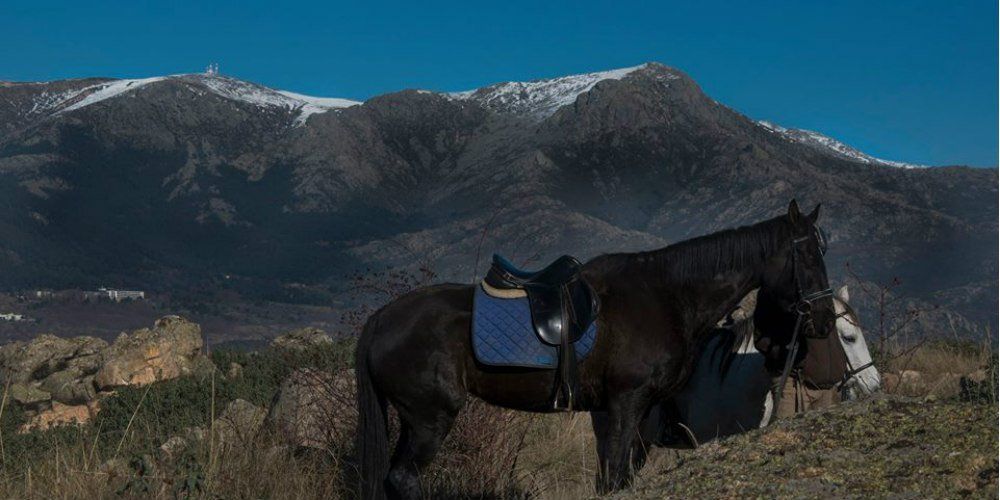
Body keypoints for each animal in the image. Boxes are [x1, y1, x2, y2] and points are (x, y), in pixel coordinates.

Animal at [355, 200, 836, 498]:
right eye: (809, 255)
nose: (825, 320)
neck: (667, 295)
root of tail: (381, 319)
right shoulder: (626, 403)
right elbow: (617, 476)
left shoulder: (623, 412)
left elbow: (613, 479)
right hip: (430, 417)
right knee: (405, 479)